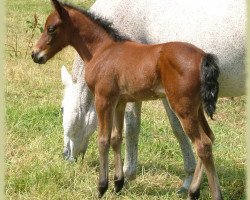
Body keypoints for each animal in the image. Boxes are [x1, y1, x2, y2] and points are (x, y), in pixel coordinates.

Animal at [31, 0, 223, 199]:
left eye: (51, 28)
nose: (35, 54)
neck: (102, 50)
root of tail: (203, 57)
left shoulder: (103, 99)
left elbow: (103, 140)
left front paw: (102, 187)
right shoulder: (119, 102)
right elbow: (116, 138)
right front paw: (118, 183)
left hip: (183, 107)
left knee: (203, 145)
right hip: (196, 108)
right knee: (210, 138)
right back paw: (193, 191)